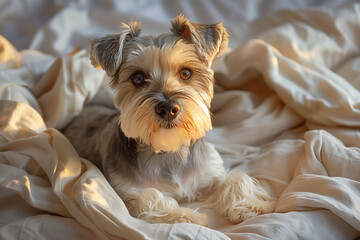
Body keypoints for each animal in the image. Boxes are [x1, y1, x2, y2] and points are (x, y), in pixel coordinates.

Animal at [63, 15, 276, 227]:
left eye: (186, 73)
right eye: (137, 78)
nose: (167, 109)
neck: (169, 150)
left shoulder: (210, 173)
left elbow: (235, 178)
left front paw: (254, 206)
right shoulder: (125, 193)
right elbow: (149, 196)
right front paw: (189, 217)